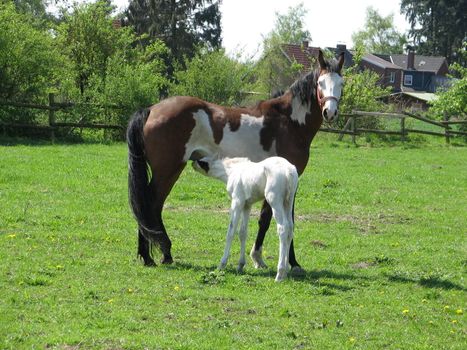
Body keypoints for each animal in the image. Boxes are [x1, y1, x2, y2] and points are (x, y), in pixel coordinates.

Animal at [127, 50, 344, 270]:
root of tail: (151, 110)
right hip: (168, 171)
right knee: (151, 205)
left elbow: (270, 218)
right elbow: (274, 218)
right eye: (320, 83)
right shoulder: (289, 179)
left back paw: (152, 254)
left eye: (341, 83)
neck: (288, 122)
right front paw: (283, 261)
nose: (330, 112)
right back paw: (156, 254)